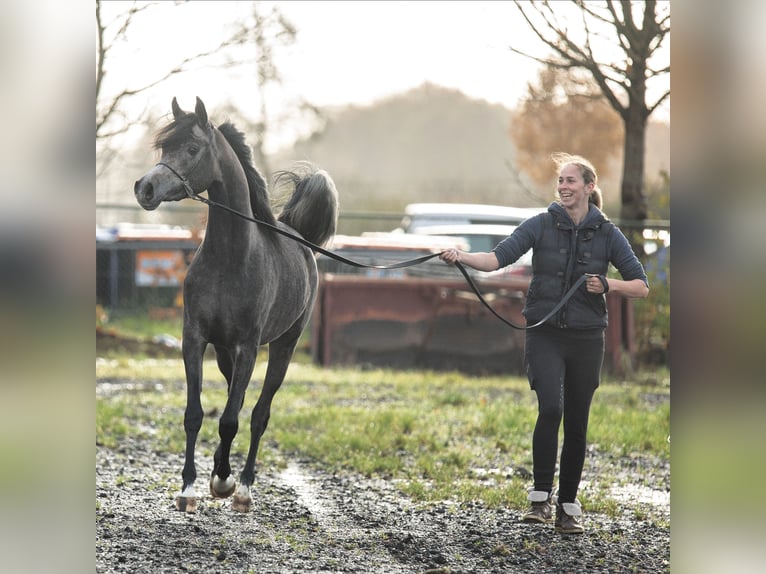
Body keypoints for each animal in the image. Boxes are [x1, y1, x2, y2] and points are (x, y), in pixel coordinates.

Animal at [133, 97, 338, 513]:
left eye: (192, 149)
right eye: (164, 148)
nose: (145, 188)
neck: (229, 260)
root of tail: (301, 237)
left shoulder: (248, 347)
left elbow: (231, 420)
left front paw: (228, 485)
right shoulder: (196, 340)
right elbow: (195, 414)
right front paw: (190, 488)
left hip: (282, 348)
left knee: (258, 413)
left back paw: (242, 485)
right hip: (225, 353)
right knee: (237, 400)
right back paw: (222, 472)